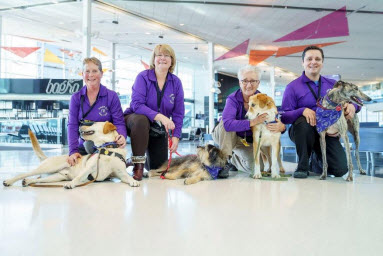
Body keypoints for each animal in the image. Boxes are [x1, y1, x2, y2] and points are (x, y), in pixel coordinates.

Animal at [2, 120, 140, 188]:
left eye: (92, 123)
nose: (80, 124)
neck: (108, 148)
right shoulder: (87, 169)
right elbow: (79, 177)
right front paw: (71, 184)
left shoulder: (120, 173)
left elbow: (127, 177)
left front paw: (134, 181)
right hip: (48, 167)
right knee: (25, 173)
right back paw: (9, 181)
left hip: (55, 176)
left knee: (38, 180)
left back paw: (28, 182)